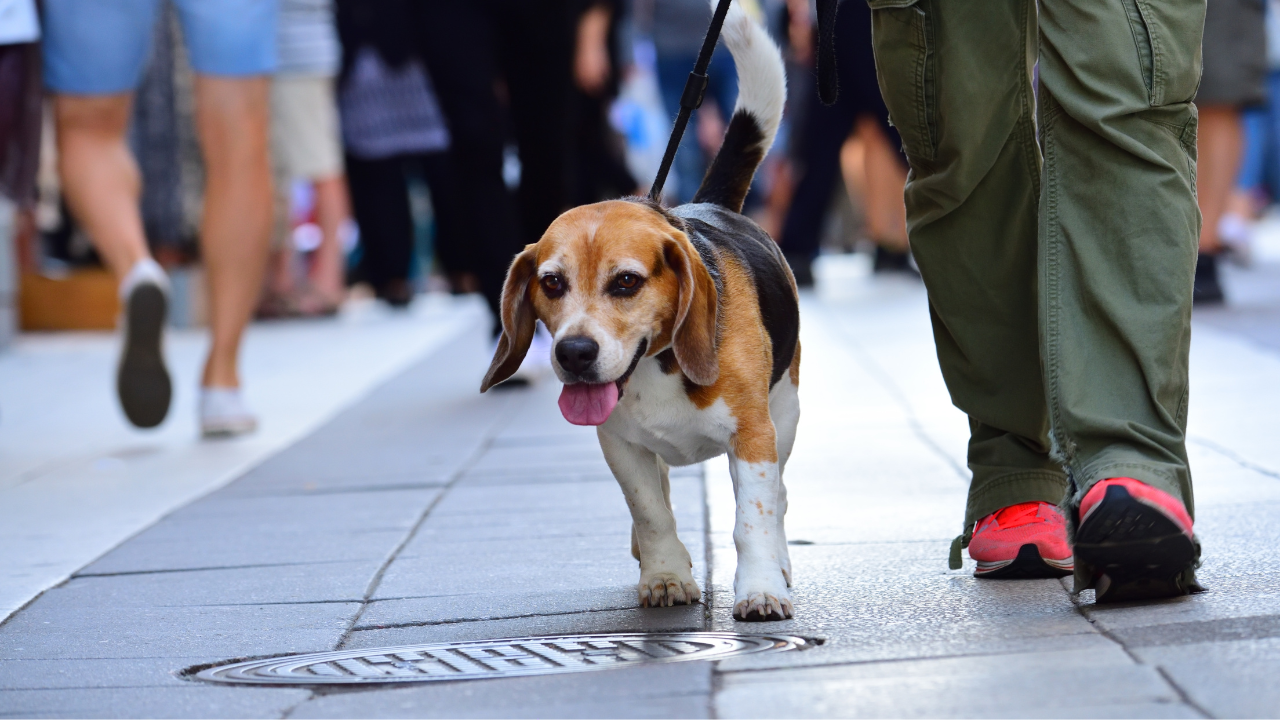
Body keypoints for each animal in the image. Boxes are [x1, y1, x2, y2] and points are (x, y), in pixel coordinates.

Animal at [483, 1, 793, 617]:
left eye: (626, 282)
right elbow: (650, 511)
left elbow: (754, 517)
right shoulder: (619, 444)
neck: (657, 364)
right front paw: (666, 575)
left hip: (787, 412)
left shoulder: (754, 436)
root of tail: (710, 205)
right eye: (551, 283)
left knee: (782, 494)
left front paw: (761, 587)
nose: (575, 353)